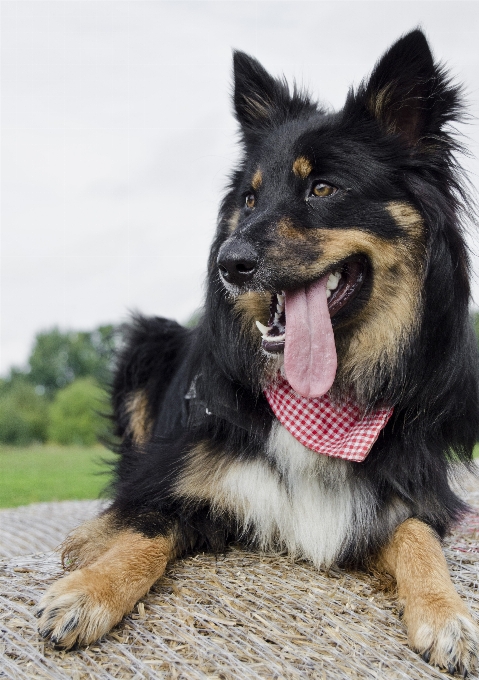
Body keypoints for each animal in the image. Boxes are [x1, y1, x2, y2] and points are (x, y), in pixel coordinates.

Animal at [35, 27, 478, 676]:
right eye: (248, 199)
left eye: (323, 188)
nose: (228, 264)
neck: (321, 402)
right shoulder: (178, 476)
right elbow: (143, 527)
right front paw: (85, 591)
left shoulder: (402, 497)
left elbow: (419, 536)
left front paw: (448, 614)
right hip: (148, 340)